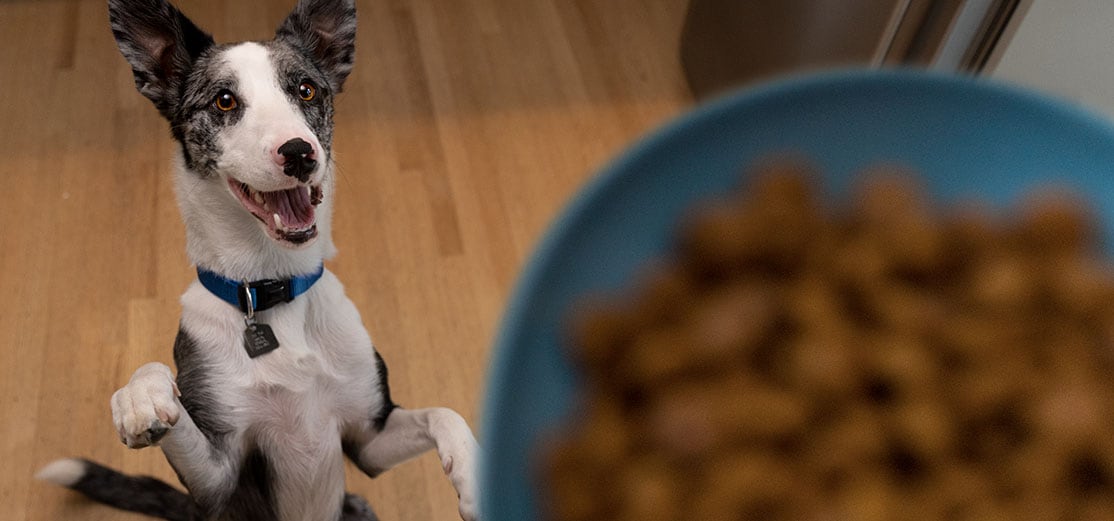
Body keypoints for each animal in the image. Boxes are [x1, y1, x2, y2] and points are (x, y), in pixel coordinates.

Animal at [33, 0, 479, 518]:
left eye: (306, 89)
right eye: (224, 101)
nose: (299, 153)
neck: (272, 287)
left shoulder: (369, 436)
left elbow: (444, 411)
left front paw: (471, 473)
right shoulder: (219, 478)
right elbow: (155, 379)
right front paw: (139, 397)